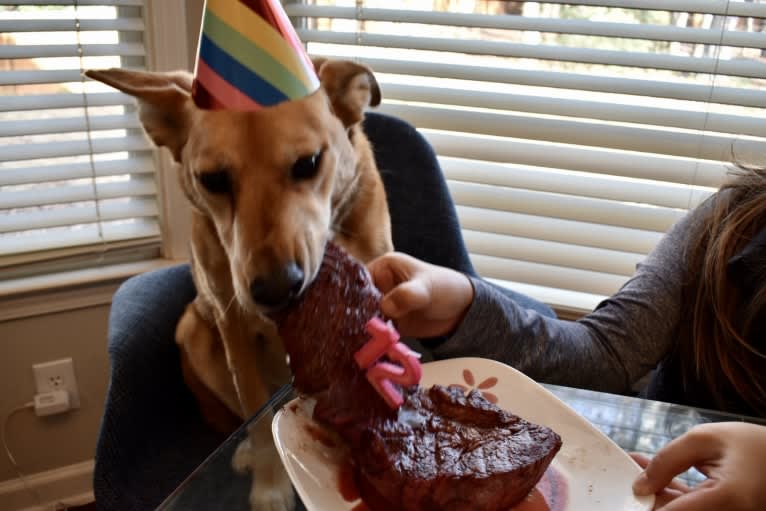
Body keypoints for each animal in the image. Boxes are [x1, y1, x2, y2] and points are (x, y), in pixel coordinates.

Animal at [87, 60, 392, 511]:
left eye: (308, 163)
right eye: (213, 180)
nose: (277, 288)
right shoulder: (234, 331)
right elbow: (260, 419)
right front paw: (271, 483)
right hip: (195, 331)